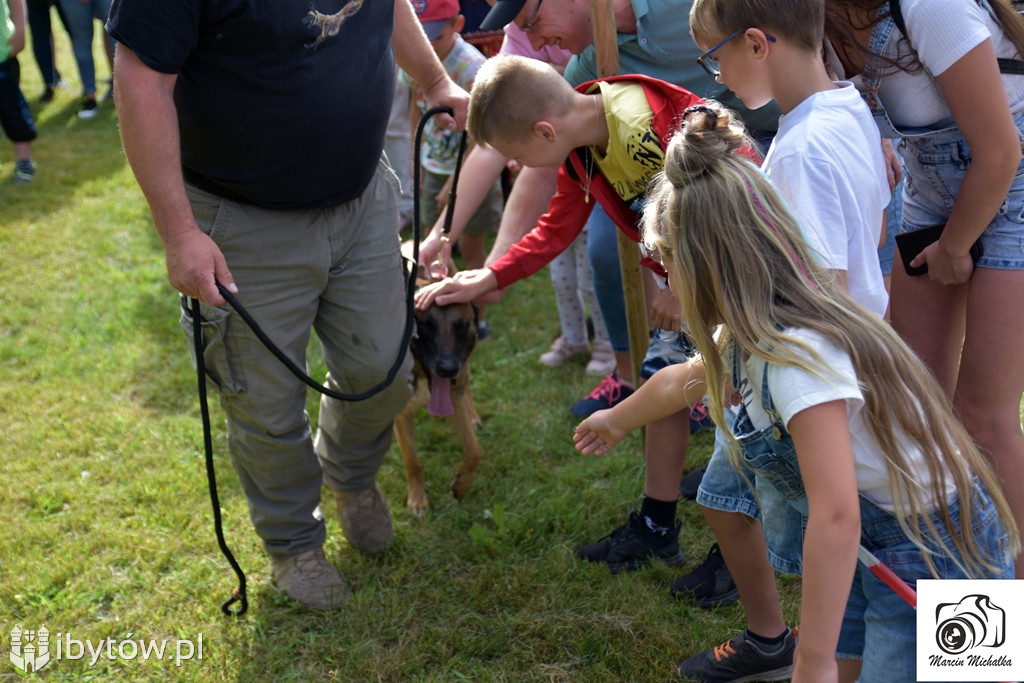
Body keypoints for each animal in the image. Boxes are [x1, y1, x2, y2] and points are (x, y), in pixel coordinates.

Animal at [395, 272, 483, 518]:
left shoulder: (454, 397)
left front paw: (461, 486)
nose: (447, 369)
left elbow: (473, 451)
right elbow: (412, 460)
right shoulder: (401, 415)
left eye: (461, 326)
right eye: (425, 325)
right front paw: (418, 499)